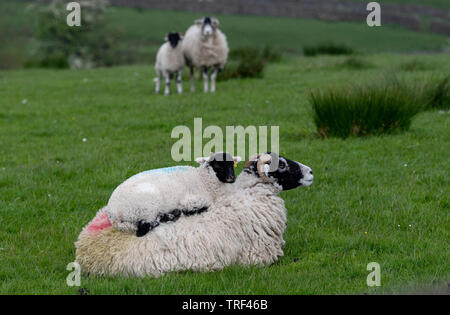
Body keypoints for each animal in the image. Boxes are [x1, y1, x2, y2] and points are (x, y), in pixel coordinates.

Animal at [105, 152, 241, 237]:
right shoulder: (191, 200)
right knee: (144, 228)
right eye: (217, 165)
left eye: (232, 164)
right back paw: (173, 215)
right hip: (146, 206)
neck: (203, 180)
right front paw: (186, 212)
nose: (231, 178)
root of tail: (114, 214)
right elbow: (201, 207)